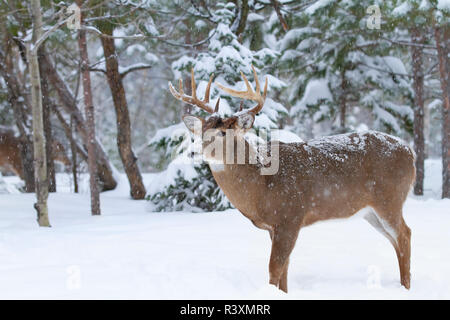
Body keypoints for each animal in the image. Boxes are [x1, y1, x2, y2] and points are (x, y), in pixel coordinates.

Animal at [168, 65, 414, 292]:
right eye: (201, 131)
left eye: (222, 132)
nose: (193, 152)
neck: (261, 186)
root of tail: (410, 152)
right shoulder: (274, 227)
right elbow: (285, 270)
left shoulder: (291, 216)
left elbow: (274, 269)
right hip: (370, 212)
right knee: (395, 239)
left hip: (390, 199)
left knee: (405, 234)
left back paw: (406, 288)